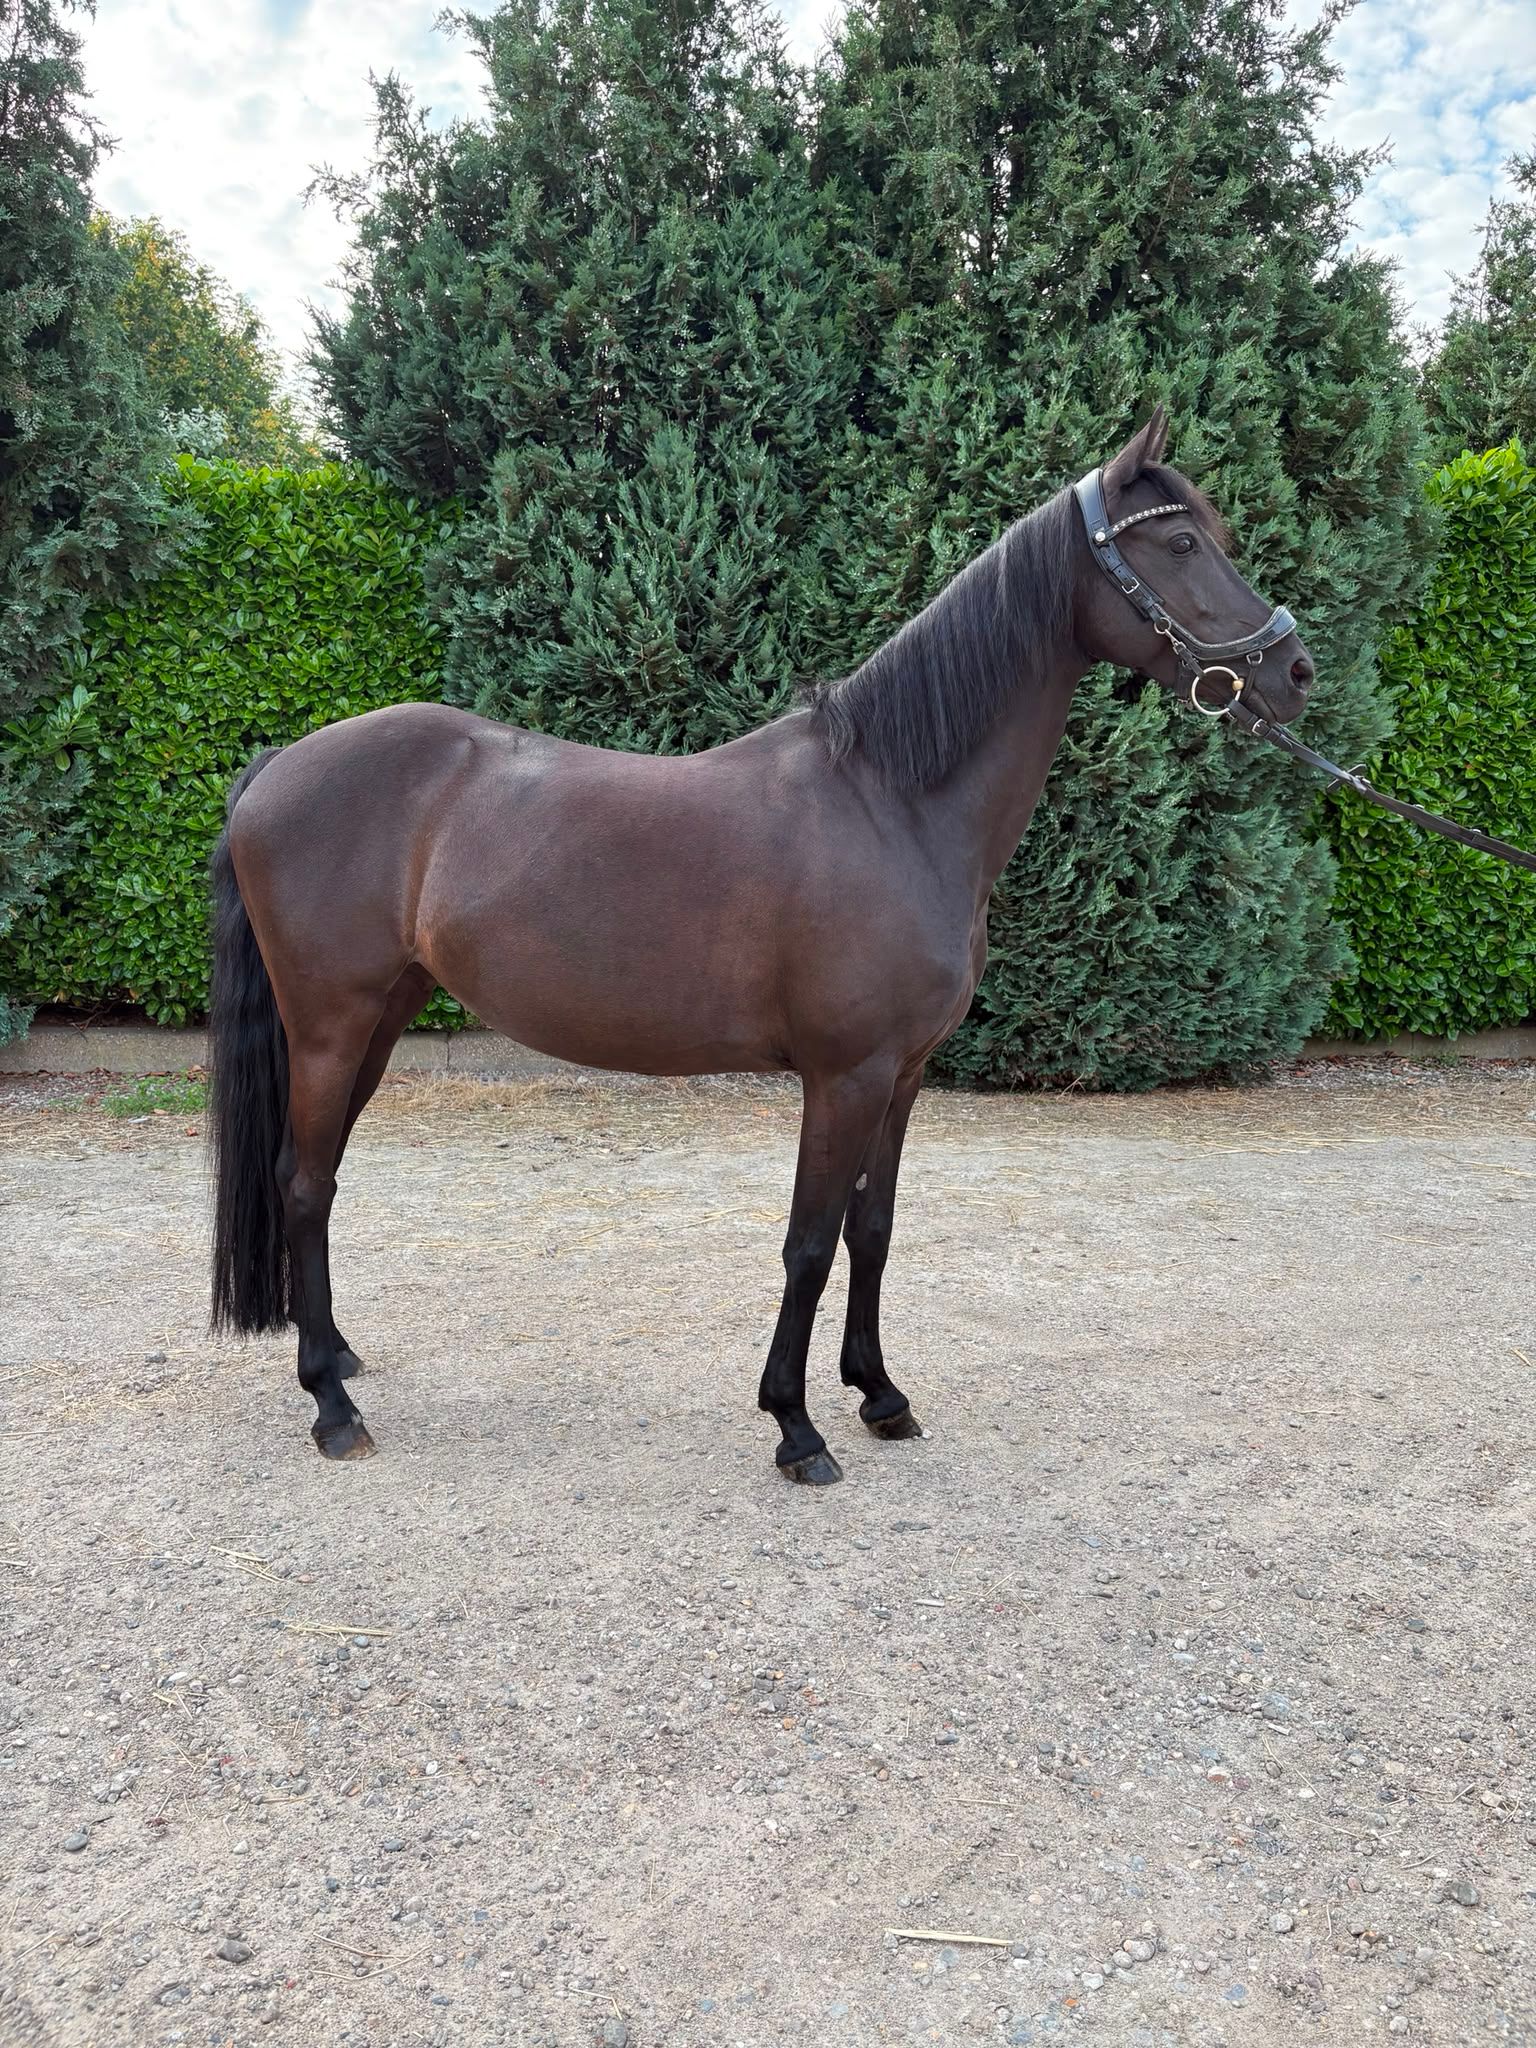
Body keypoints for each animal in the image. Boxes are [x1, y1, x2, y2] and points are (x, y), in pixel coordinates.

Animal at [207, 408, 1313, 1483]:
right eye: (1179, 543)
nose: (1295, 670)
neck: (893, 804)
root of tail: (276, 766)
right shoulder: (845, 1074)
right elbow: (810, 1243)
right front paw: (796, 1424)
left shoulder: (903, 1073)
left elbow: (874, 1229)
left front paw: (880, 1394)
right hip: (331, 1025)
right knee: (303, 1184)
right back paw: (332, 1404)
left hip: (378, 1020)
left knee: (316, 1182)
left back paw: (339, 1354)